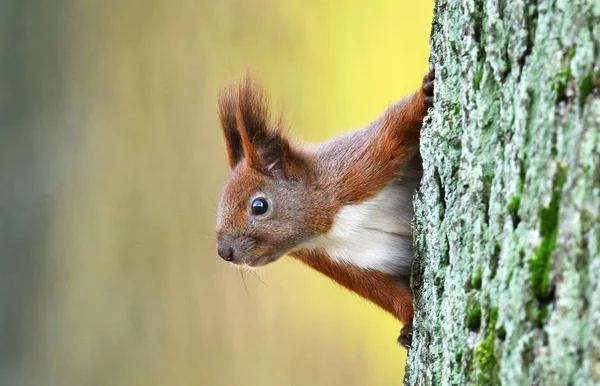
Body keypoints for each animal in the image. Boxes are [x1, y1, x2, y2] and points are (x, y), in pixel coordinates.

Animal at [213, 68, 434, 348]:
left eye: (259, 206)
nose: (224, 252)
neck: (329, 224)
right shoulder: (335, 262)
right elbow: (386, 293)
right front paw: (408, 324)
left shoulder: (360, 167)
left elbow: (396, 125)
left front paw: (424, 97)